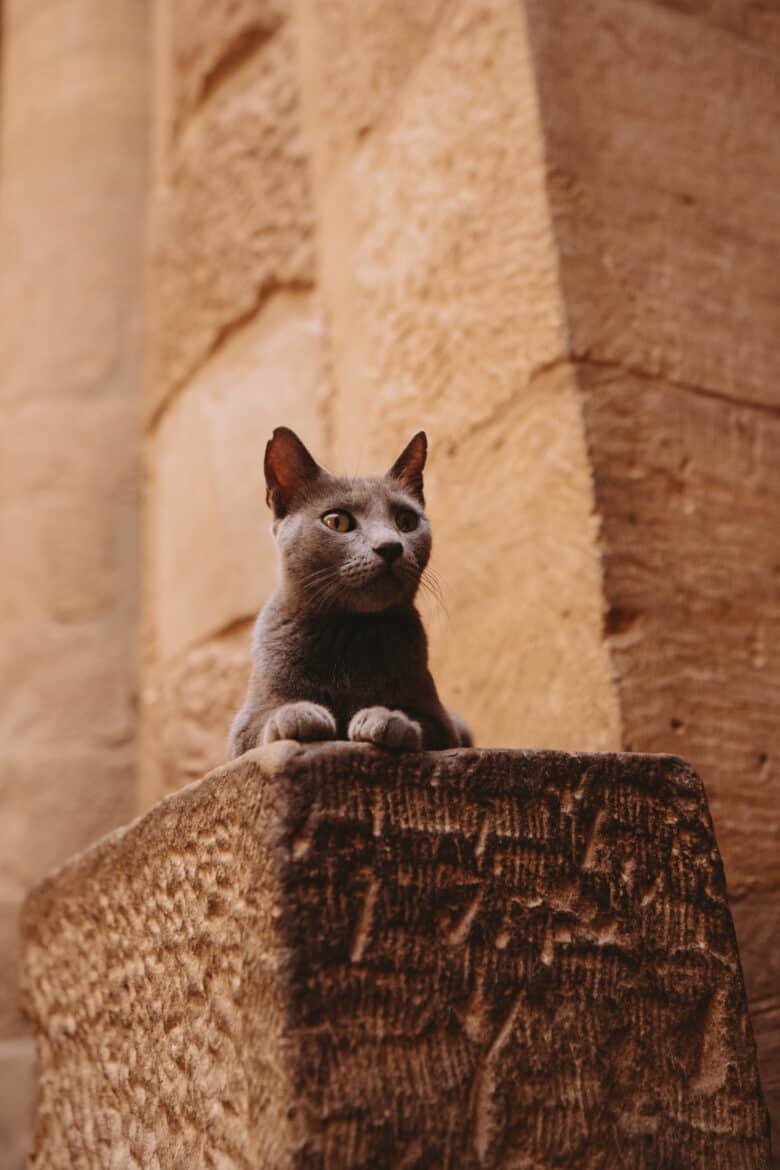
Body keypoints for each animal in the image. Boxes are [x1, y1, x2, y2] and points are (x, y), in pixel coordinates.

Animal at [225, 430, 470, 758]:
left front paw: (387, 719)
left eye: (406, 521)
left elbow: (425, 724)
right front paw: (297, 714)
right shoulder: (245, 723)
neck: (348, 632)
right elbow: (261, 723)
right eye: (337, 521)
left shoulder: (443, 723)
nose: (390, 546)